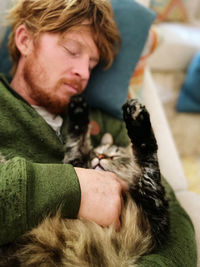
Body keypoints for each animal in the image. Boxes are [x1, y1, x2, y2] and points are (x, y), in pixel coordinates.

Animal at [0, 95, 169, 266]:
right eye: (97, 152)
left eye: (115, 156)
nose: (100, 157)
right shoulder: (75, 162)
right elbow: (77, 142)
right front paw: (78, 111)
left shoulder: (154, 211)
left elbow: (147, 154)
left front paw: (137, 121)